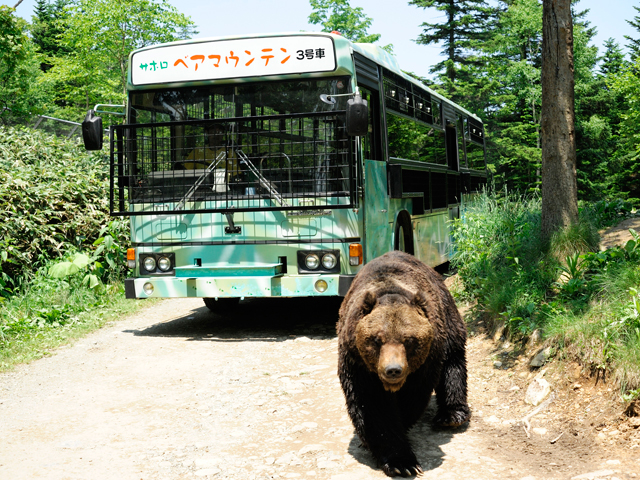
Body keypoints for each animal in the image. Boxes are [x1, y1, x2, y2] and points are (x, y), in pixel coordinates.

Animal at [336, 251, 470, 476]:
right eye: (376, 339)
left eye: (409, 340)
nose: (393, 370)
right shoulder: (358, 363)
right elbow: (372, 405)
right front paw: (401, 462)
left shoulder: (424, 363)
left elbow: (412, 397)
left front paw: (403, 458)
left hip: (447, 316)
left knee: (453, 360)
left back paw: (452, 415)